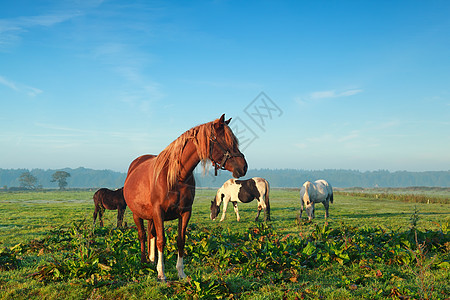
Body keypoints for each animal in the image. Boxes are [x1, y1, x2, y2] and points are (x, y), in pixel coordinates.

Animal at [125, 115, 248, 282]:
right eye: (226, 141)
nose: (243, 167)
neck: (176, 177)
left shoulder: (185, 212)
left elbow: (180, 240)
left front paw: (181, 272)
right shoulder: (158, 212)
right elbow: (161, 240)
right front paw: (161, 274)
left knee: (151, 234)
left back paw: (152, 260)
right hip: (137, 214)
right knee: (143, 235)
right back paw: (145, 261)